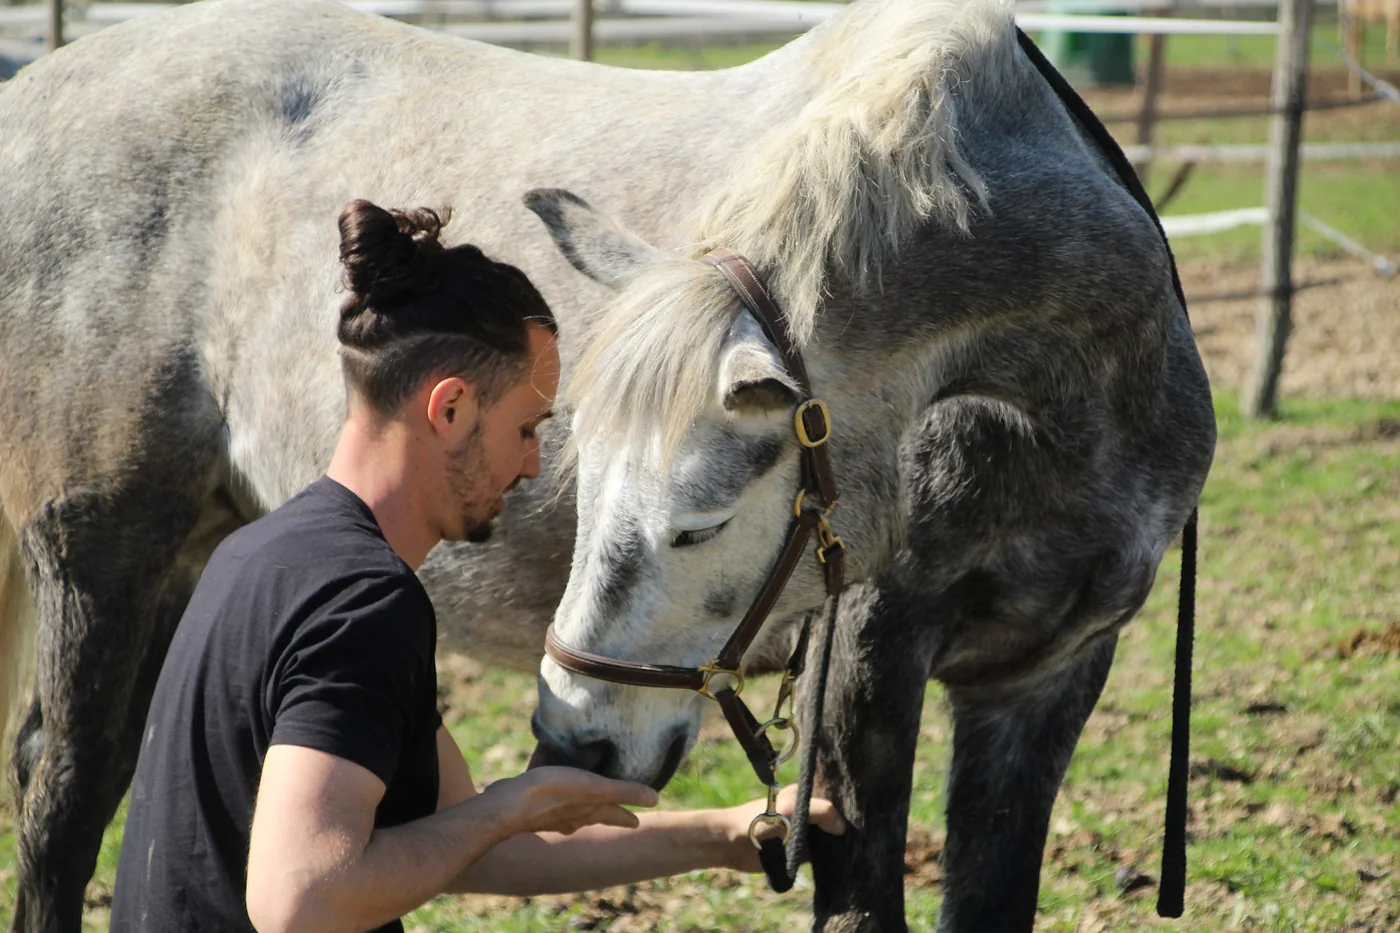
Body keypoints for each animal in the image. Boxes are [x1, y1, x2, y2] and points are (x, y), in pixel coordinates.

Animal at [0, 0, 1214, 929]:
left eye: (702, 522)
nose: (573, 740)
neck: (1062, 412)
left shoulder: (1045, 677)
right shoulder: (871, 664)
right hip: (105, 550)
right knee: (65, 796)